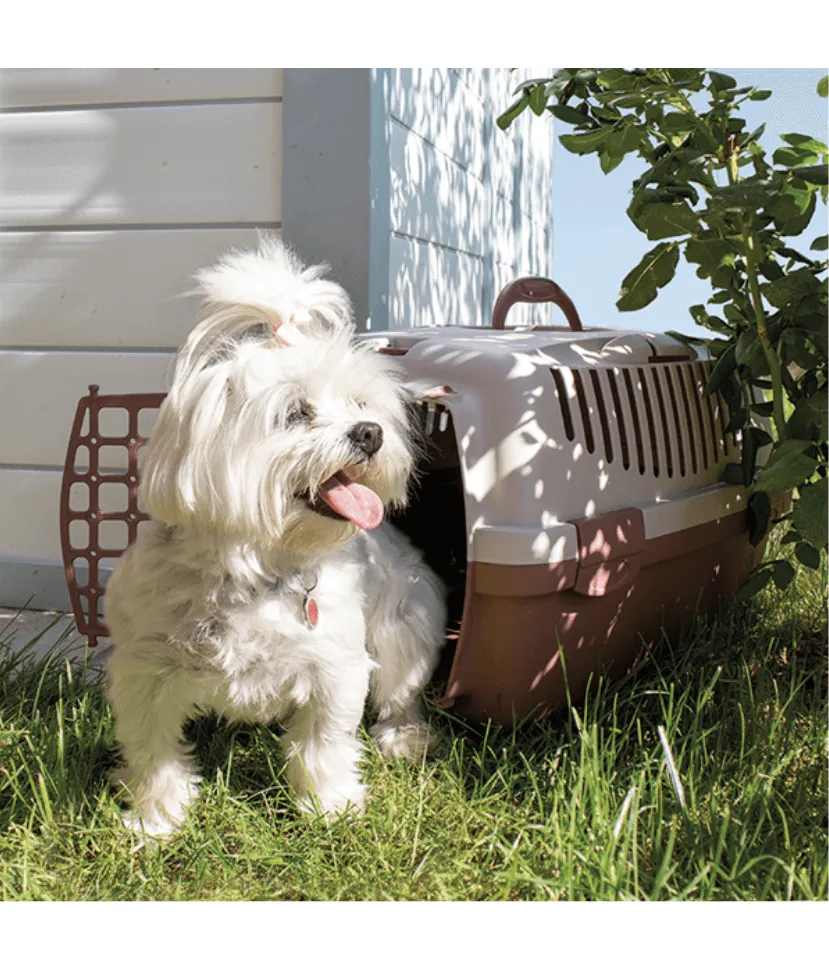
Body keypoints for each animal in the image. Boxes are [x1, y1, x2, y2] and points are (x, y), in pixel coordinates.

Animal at [107, 238, 450, 840]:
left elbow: (323, 744)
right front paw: (155, 819)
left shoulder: (335, 667)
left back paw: (404, 739)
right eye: (295, 413)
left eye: (361, 405)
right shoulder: (144, 670)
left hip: (404, 631)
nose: (371, 433)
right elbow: (154, 753)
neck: (256, 570)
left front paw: (329, 806)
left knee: (399, 694)